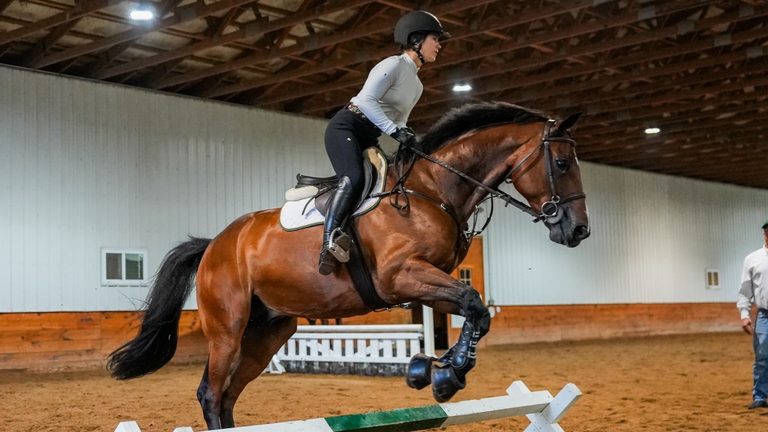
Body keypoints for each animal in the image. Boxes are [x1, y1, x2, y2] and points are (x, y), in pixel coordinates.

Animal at [107, 102, 590, 430]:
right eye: (562, 163)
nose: (578, 230)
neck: (431, 190)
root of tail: (214, 245)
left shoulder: (430, 283)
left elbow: (476, 311)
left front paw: (436, 371)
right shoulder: (401, 277)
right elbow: (472, 303)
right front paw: (442, 376)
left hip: (267, 331)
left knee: (226, 397)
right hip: (228, 328)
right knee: (210, 393)